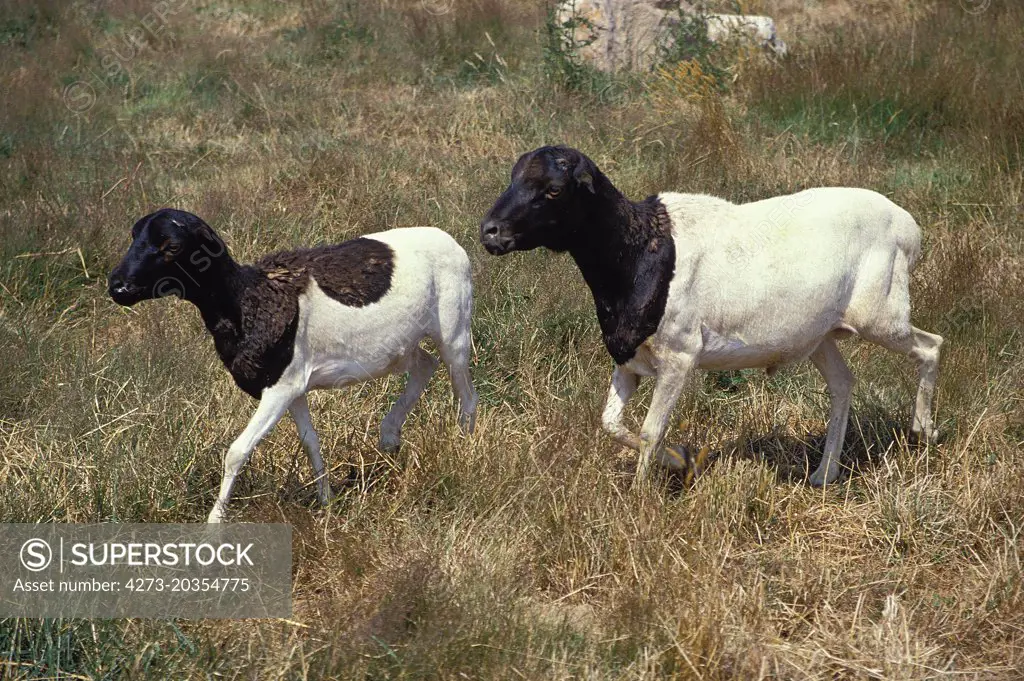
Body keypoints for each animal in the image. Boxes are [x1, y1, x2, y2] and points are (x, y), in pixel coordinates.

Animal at [110, 206, 477, 520]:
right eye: (134, 235)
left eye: (170, 245)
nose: (118, 288)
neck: (247, 298)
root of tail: (449, 240)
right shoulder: (295, 388)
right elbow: (310, 442)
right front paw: (327, 502)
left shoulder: (280, 388)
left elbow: (237, 452)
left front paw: (214, 521)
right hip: (402, 348)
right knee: (425, 365)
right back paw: (388, 441)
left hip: (455, 332)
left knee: (465, 393)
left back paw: (462, 449)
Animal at [479, 146, 942, 489]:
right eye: (514, 177)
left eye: (554, 190)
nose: (490, 231)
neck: (640, 248)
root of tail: (909, 226)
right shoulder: (628, 357)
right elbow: (610, 423)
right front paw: (680, 460)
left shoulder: (680, 356)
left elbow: (649, 430)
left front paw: (639, 499)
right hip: (820, 335)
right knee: (843, 383)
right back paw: (823, 475)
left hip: (880, 315)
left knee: (931, 346)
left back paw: (924, 432)